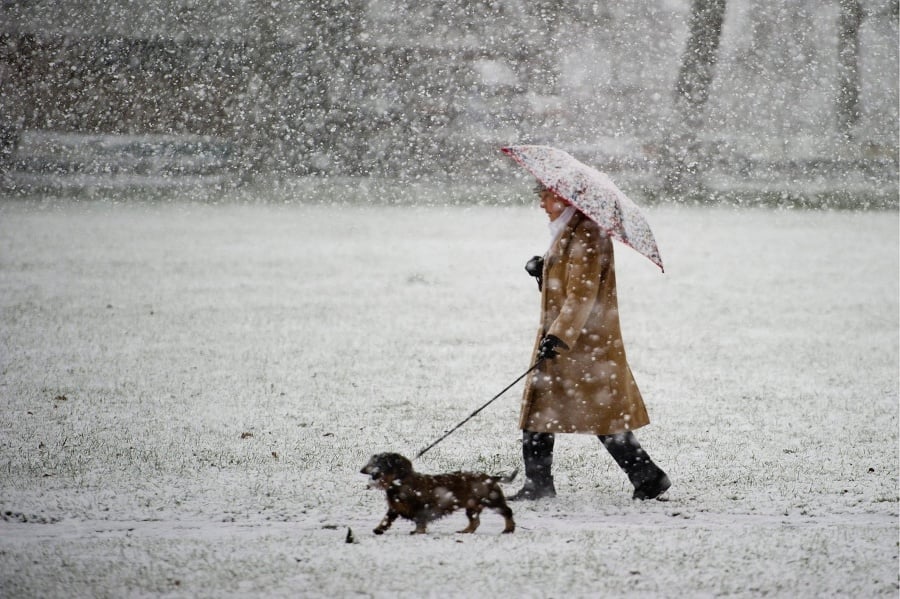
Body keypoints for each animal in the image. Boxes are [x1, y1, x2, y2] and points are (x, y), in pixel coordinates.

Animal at [360, 454, 516, 536]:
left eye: (380, 462)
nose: (362, 470)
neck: (399, 483)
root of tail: (490, 477)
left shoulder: (421, 507)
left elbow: (420, 521)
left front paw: (418, 531)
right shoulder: (394, 507)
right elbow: (386, 519)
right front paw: (379, 529)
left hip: (492, 500)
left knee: (507, 511)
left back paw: (509, 529)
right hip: (472, 506)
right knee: (475, 521)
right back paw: (466, 531)